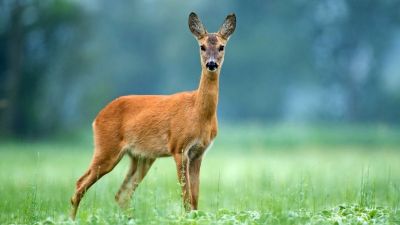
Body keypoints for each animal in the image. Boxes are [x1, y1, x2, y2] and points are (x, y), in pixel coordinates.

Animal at [70, 12, 236, 220]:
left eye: (222, 46)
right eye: (202, 46)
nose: (211, 64)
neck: (198, 114)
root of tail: (97, 118)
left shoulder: (199, 152)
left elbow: (195, 198)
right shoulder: (179, 147)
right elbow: (186, 197)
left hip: (140, 157)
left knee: (121, 194)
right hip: (106, 148)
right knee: (80, 185)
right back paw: (71, 219)